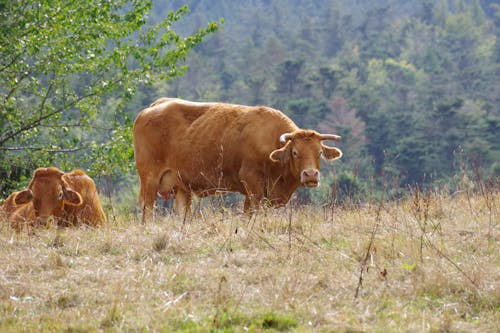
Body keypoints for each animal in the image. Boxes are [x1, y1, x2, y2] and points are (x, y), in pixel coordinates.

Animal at [134, 97, 344, 222]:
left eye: (319, 152)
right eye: (295, 152)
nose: (311, 174)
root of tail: (155, 106)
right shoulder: (252, 183)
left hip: (181, 187)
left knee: (181, 211)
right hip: (150, 179)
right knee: (147, 208)